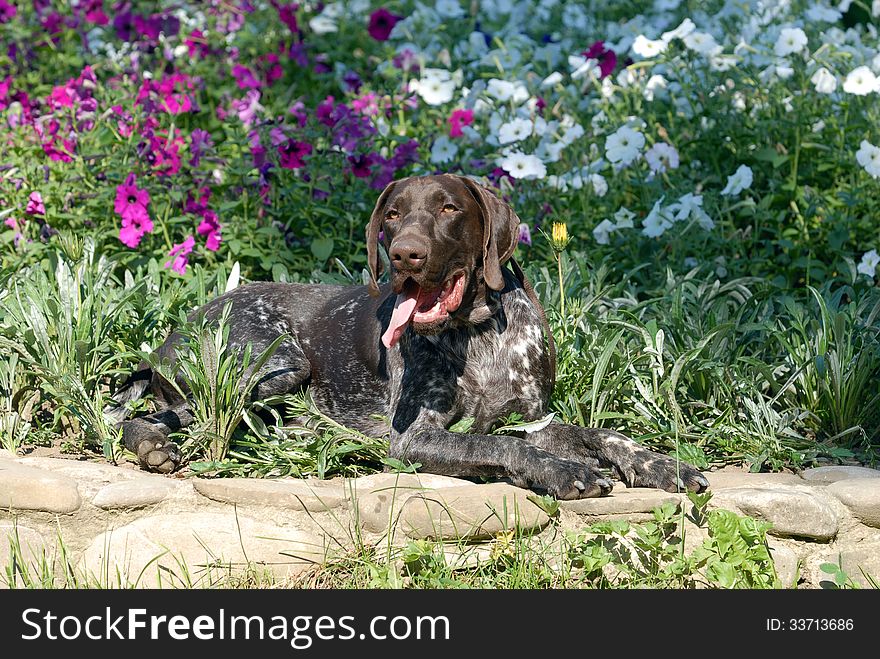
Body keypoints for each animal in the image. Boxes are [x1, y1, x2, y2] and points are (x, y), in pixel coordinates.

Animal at [108, 175, 708, 500]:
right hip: (277, 366)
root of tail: (172, 335)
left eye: (449, 207)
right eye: (393, 215)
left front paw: (663, 465)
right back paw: (156, 447)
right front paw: (563, 471)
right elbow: (497, 444)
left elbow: (602, 434)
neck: (476, 330)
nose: (405, 255)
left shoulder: (537, 418)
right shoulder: (415, 437)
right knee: (163, 419)